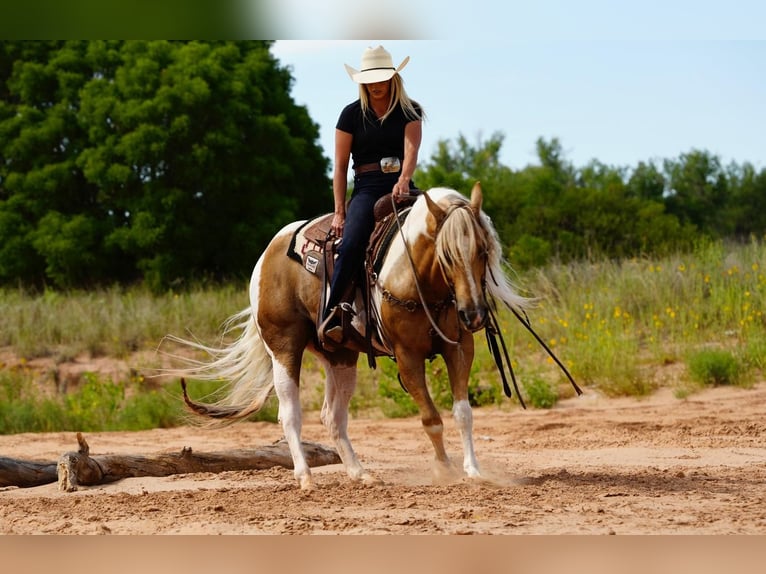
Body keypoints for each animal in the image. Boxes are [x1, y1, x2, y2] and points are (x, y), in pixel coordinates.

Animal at [166, 183, 532, 490]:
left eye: (483, 251)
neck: (419, 279)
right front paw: (444, 469)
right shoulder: (407, 356)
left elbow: (463, 413)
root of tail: (267, 254)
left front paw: (473, 470)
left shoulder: (459, 348)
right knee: (290, 414)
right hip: (284, 350)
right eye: (447, 255)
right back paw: (305, 477)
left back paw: (359, 472)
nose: (474, 314)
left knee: (333, 416)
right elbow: (430, 417)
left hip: (340, 357)